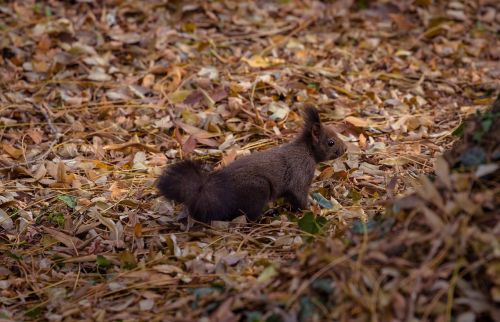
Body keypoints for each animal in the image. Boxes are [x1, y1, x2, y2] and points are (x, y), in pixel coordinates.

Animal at [158, 107, 346, 223]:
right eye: (330, 142)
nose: (344, 148)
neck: (307, 151)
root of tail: (215, 191)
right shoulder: (300, 174)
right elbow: (299, 196)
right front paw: (310, 208)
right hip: (258, 189)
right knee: (248, 215)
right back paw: (265, 216)